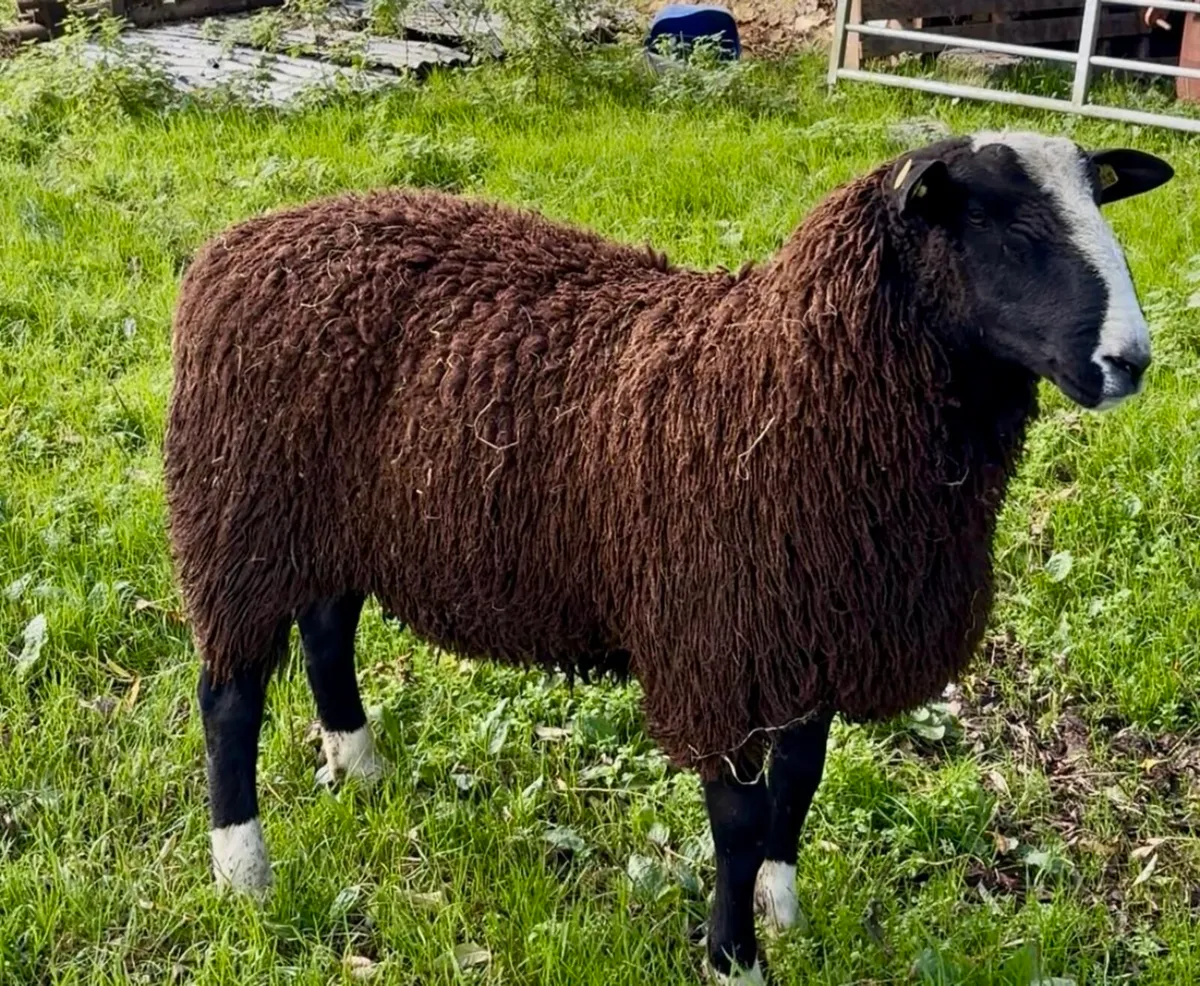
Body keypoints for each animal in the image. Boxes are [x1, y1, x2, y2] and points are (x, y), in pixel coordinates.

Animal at [164, 130, 1173, 984]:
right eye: (1005, 226)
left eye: (1100, 204)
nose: (1131, 360)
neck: (784, 384)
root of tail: (237, 242)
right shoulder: (717, 645)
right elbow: (738, 819)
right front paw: (735, 958)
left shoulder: (815, 628)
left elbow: (798, 786)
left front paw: (783, 909)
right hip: (239, 516)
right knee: (229, 698)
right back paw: (243, 870)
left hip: (331, 520)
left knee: (327, 632)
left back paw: (363, 768)